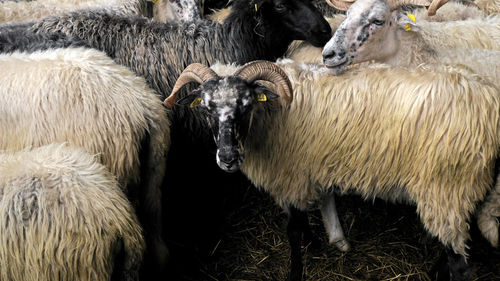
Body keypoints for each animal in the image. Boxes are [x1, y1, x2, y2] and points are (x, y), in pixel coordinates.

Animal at [162, 59, 498, 280]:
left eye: (246, 105)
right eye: (207, 108)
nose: (228, 157)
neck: (269, 115)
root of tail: (490, 105)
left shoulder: (291, 174)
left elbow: (293, 228)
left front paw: (296, 270)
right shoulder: (308, 170)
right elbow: (306, 215)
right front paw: (318, 244)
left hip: (446, 187)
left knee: (460, 263)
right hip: (452, 192)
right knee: (452, 244)